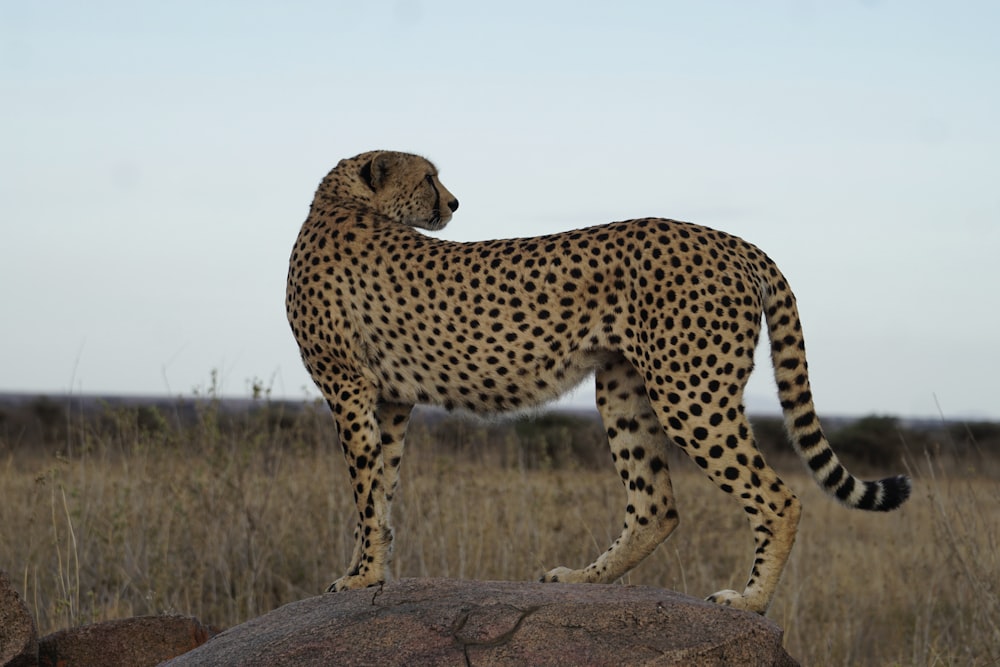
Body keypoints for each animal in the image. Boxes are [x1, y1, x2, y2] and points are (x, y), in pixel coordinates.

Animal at [286, 150, 912, 616]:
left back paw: (750, 602)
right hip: (623, 387)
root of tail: (732, 240)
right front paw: (367, 571)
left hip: (690, 391)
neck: (340, 201)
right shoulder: (389, 398)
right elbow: (381, 488)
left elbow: (365, 490)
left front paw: (359, 577)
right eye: (429, 178)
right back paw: (583, 579)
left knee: (779, 498)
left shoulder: (348, 386)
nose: (455, 201)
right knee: (656, 505)